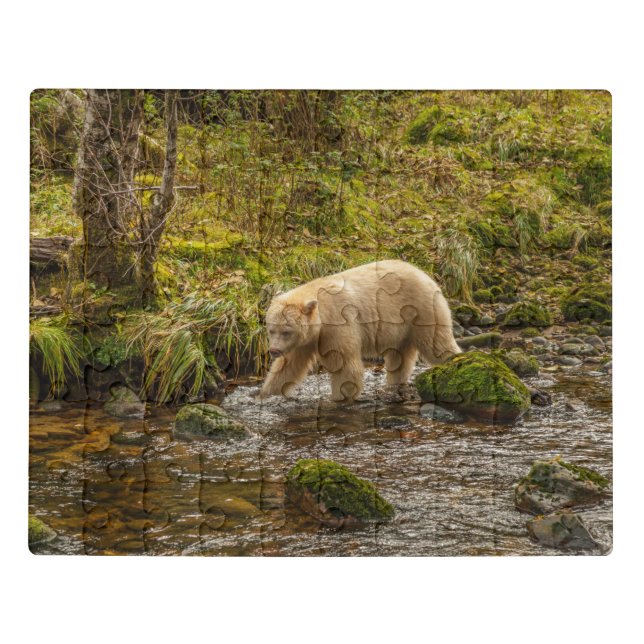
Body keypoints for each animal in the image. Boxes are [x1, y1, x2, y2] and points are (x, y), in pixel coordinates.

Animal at [259, 259, 462, 402]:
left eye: (286, 331)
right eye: (271, 330)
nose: (274, 350)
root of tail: (427, 275)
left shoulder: (338, 324)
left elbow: (345, 366)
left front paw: (338, 398)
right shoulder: (307, 340)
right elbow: (289, 366)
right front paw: (266, 393)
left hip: (421, 310)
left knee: (437, 344)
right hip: (403, 327)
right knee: (400, 357)